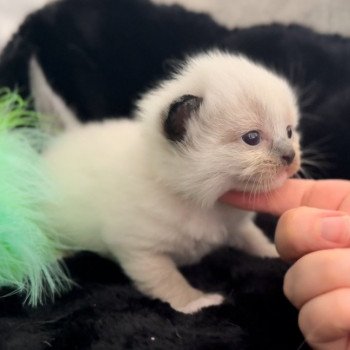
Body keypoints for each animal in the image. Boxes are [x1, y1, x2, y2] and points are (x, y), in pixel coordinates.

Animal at [30, 50, 300, 314]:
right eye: (252, 138)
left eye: (289, 132)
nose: (290, 156)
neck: (204, 203)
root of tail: (62, 141)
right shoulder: (141, 251)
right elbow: (168, 281)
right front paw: (198, 303)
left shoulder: (235, 225)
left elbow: (255, 239)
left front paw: (273, 254)